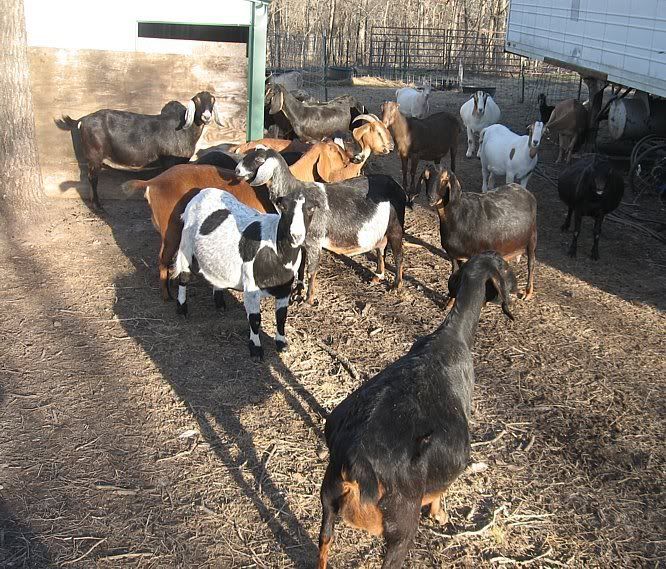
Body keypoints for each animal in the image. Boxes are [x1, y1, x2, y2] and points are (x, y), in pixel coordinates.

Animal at [54, 92, 220, 210]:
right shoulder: (169, 162)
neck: (184, 130)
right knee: (92, 179)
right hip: (95, 155)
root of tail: (82, 120)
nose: (206, 116)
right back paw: (98, 205)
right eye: (197, 100)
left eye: (212, 100)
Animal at [172, 187, 323, 360]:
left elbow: (281, 316)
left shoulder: (284, 288)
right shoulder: (251, 287)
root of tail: (203, 191)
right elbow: (255, 319)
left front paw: (281, 344)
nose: (296, 235)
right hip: (186, 244)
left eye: (311, 209)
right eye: (284, 208)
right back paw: (182, 309)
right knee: (184, 277)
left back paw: (219, 303)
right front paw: (256, 349)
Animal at [235, 148, 406, 304]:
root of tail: (397, 186)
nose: (237, 170)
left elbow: (312, 270)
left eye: (258, 159)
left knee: (398, 255)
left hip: (396, 226)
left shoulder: (314, 241)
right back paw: (377, 276)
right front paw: (297, 292)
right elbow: (301, 266)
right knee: (381, 248)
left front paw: (308, 300)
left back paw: (396, 285)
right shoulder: (302, 242)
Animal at [316, 251, 517, 569]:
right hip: (402, 527)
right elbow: (441, 489)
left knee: (324, 542)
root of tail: (355, 463)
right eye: (506, 268)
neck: (453, 335)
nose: (519, 290)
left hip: (327, 501)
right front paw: (439, 514)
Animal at [415, 165, 537, 301]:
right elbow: (454, 277)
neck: (459, 215)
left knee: (531, 263)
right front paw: (449, 302)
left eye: (444, 179)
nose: (431, 197)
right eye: (426, 177)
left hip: (532, 238)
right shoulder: (453, 255)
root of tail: (525, 191)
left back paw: (528, 292)